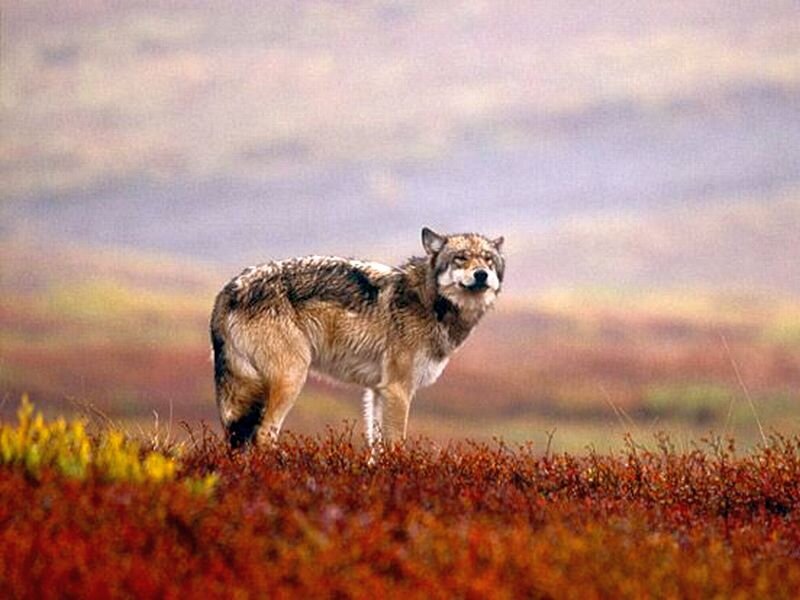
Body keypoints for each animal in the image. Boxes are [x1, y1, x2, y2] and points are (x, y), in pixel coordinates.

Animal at [210, 227, 505, 449]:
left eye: (488, 260)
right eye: (461, 258)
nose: (481, 274)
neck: (429, 302)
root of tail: (228, 290)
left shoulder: (377, 391)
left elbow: (376, 447)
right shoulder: (398, 390)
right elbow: (396, 445)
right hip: (292, 377)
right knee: (263, 434)